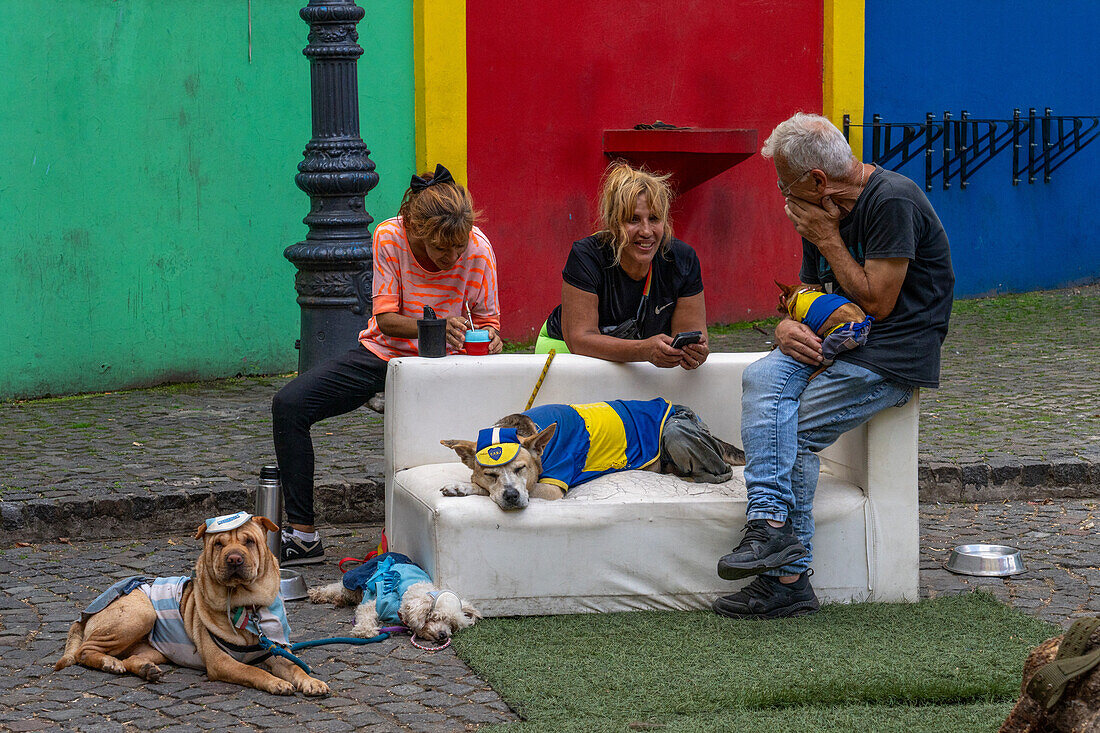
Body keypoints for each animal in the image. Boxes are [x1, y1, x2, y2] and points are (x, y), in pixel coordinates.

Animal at [435, 400, 739, 508]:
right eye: (491, 473)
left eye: (521, 469)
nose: (511, 497)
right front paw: (463, 485)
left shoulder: (551, 488)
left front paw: (466, 487)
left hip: (678, 431)